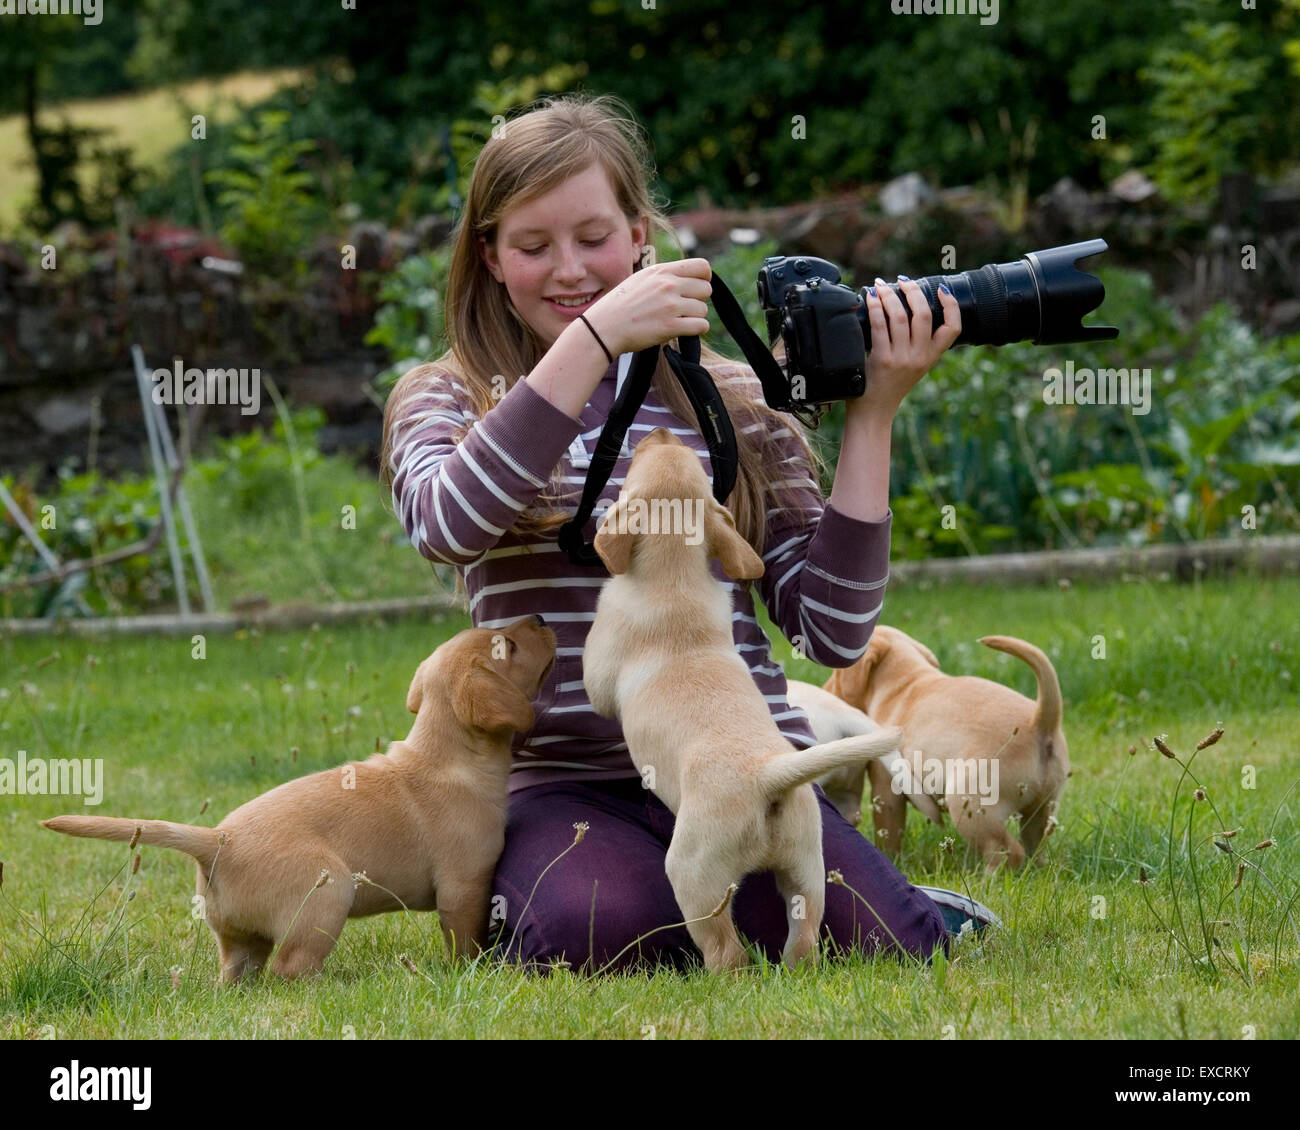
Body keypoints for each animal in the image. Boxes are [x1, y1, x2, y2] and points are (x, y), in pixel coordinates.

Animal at [41, 616, 553, 977]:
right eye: (506, 646)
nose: (543, 617)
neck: (447, 754)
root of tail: (216, 839)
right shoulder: (464, 885)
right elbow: (466, 943)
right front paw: (471, 974)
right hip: (330, 893)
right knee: (291, 970)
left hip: (239, 940)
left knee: (241, 973)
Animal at [587, 429, 904, 967]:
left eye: (635, 464)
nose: (659, 432)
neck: (674, 576)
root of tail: (767, 776)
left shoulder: (600, 668)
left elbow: (591, 686)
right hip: (807, 870)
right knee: (803, 941)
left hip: (693, 875)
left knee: (726, 953)